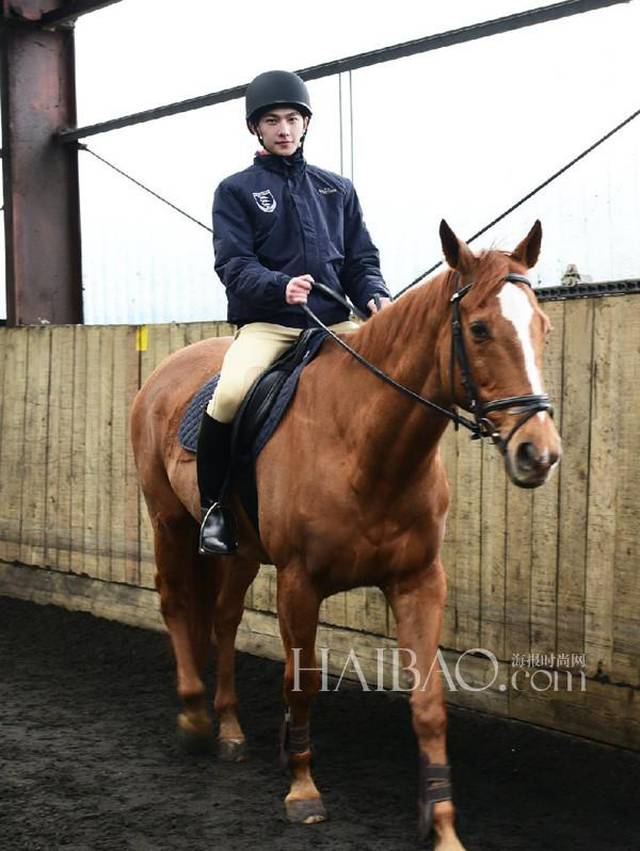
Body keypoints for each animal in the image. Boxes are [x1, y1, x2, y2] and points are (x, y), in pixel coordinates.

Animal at [130, 223, 560, 848]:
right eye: (480, 328)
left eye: (542, 327)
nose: (539, 453)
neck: (364, 445)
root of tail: (164, 372)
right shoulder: (299, 582)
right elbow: (301, 682)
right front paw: (302, 790)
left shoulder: (418, 581)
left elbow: (428, 702)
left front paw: (442, 825)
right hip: (170, 521)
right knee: (176, 601)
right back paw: (193, 718)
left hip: (238, 551)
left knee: (224, 618)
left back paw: (230, 728)